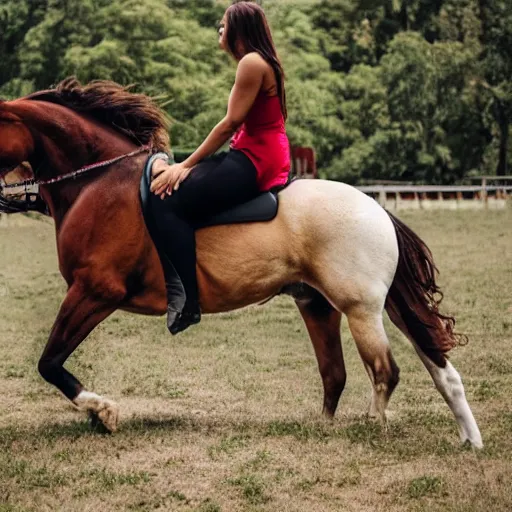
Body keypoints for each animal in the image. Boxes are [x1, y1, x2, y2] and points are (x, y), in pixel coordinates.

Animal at [0, 77, 484, 448]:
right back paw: (463, 437)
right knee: (370, 370)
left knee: (385, 371)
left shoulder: (95, 291)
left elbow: (49, 362)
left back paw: (373, 426)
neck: (99, 183)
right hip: (320, 305)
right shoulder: (90, 293)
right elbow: (52, 362)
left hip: (360, 309)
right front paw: (98, 414)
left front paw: (103, 411)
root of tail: (377, 209)